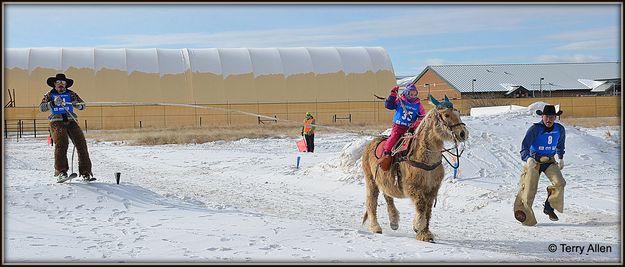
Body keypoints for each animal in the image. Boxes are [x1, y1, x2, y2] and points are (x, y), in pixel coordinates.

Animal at [358, 96, 466, 243]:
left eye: (458, 113)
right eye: (446, 115)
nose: (463, 133)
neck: (424, 157)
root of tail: (370, 143)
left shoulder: (433, 188)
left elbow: (428, 209)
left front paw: (424, 231)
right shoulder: (412, 187)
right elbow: (421, 205)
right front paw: (420, 228)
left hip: (384, 181)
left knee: (388, 197)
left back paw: (394, 221)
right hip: (371, 181)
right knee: (371, 202)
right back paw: (375, 226)